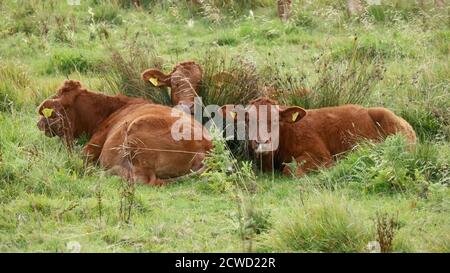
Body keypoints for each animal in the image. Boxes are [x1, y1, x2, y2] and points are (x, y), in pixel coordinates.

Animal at [36, 79, 211, 184]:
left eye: (58, 108)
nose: (40, 123)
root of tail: (206, 146)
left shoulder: (92, 146)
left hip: (136, 131)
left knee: (143, 179)